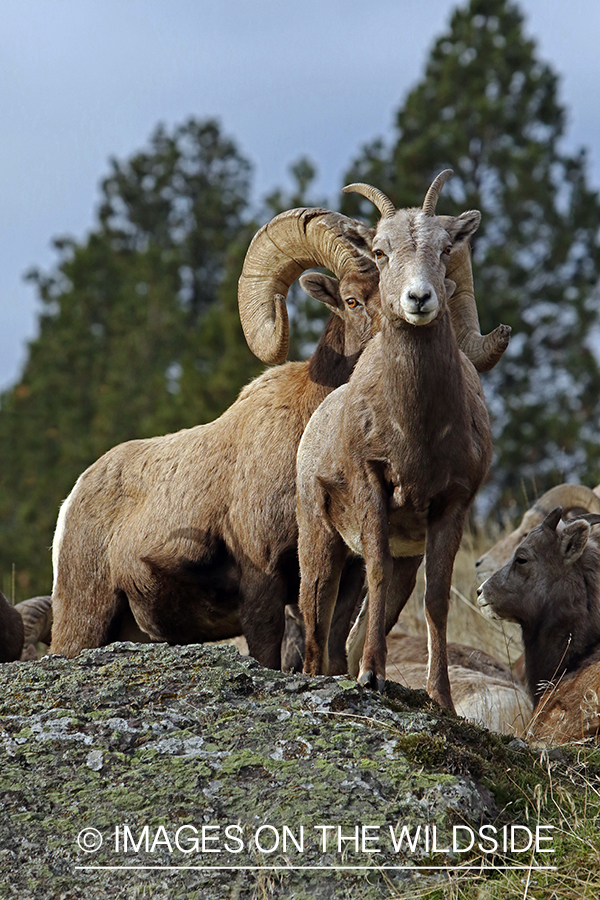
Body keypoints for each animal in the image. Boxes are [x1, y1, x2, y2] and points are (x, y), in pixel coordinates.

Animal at [296, 171, 509, 709]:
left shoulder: (451, 506)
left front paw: (441, 698)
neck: (417, 430)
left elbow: (437, 601)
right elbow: (375, 569)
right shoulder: (373, 487)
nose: (418, 299)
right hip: (320, 544)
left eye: (444, 248)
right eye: (380, 250)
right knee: (314, 622)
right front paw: (371, 676)